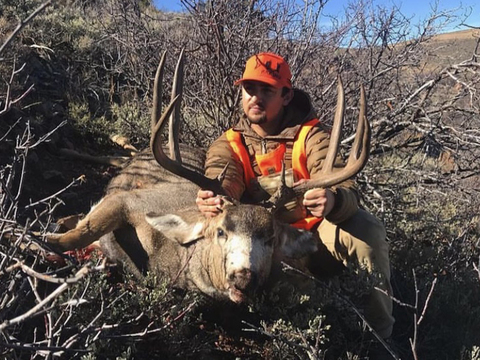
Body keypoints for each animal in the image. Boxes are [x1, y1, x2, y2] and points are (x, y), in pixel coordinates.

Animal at [47, 50, 370, 304]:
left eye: (270, 238)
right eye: (221, 231)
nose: (243, 279)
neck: (167, 253)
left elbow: (80, 231)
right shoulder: (129, 200)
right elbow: (77, 235)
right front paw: (41, 239)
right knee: (116, 155)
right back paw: (65, 148)